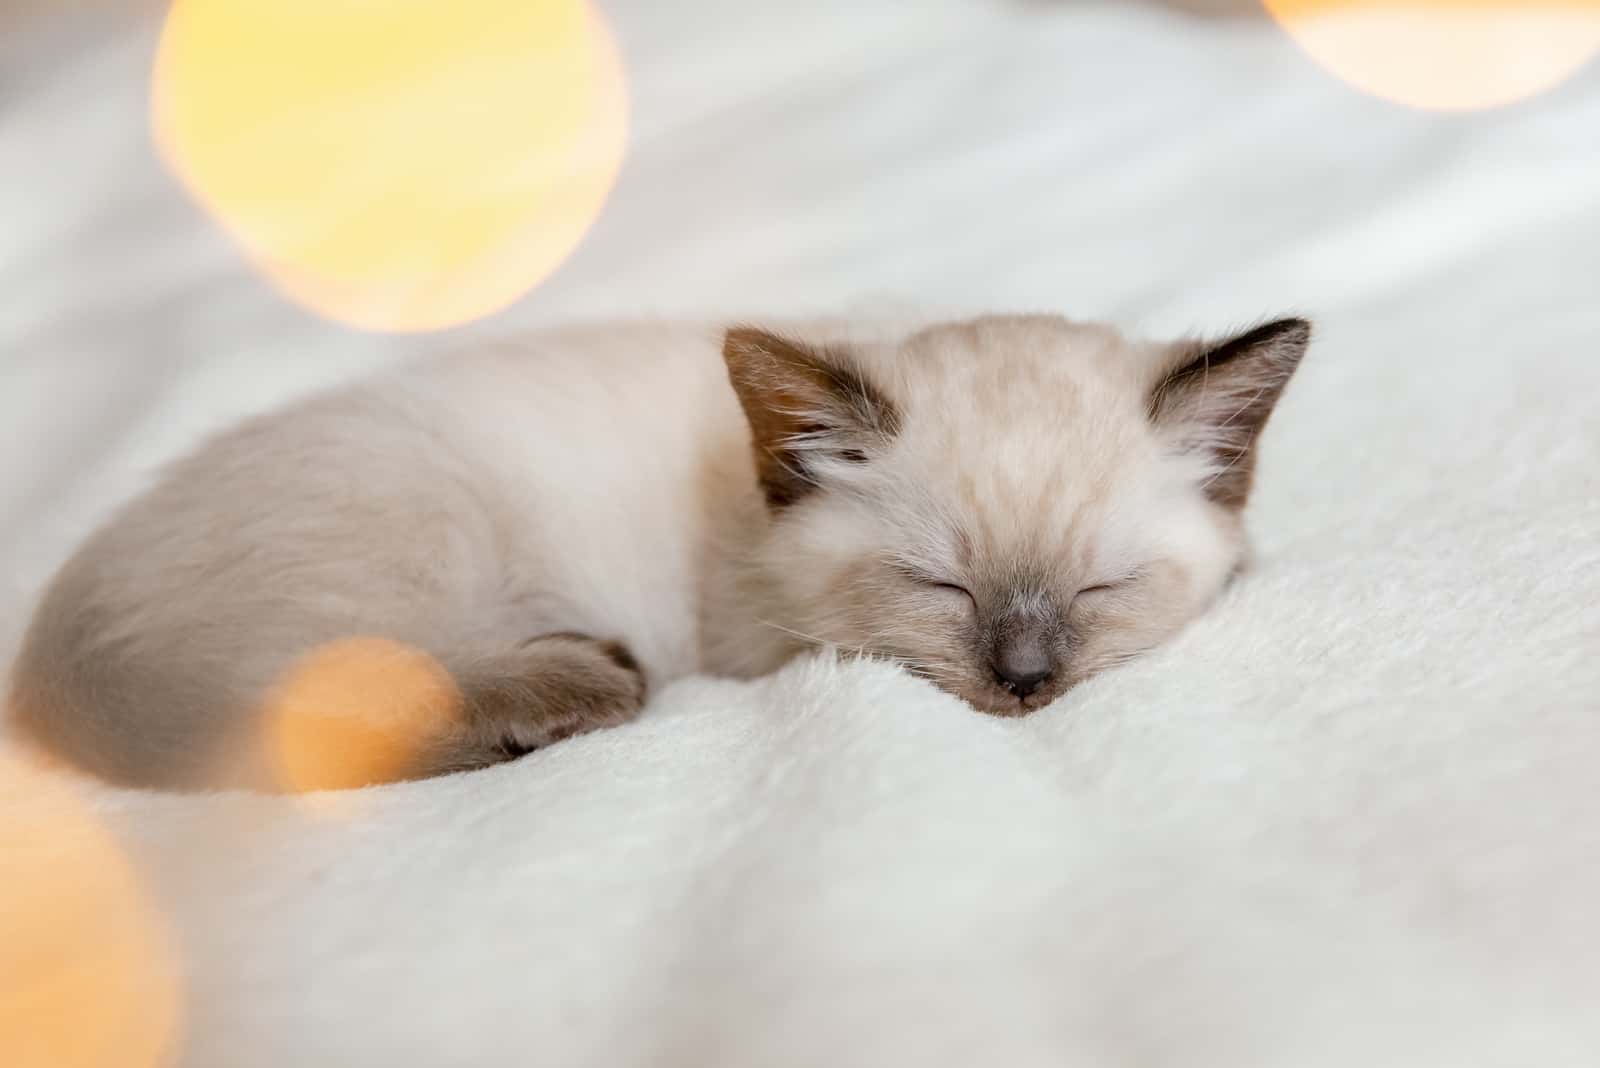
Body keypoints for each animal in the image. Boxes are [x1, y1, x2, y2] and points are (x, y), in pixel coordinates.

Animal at [6, 313, 1305, 789]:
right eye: (939, 586)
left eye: (1099, 587)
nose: (1026, 683)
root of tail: (54, 637)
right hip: (428, 536)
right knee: (330, 711)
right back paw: (572, 690)